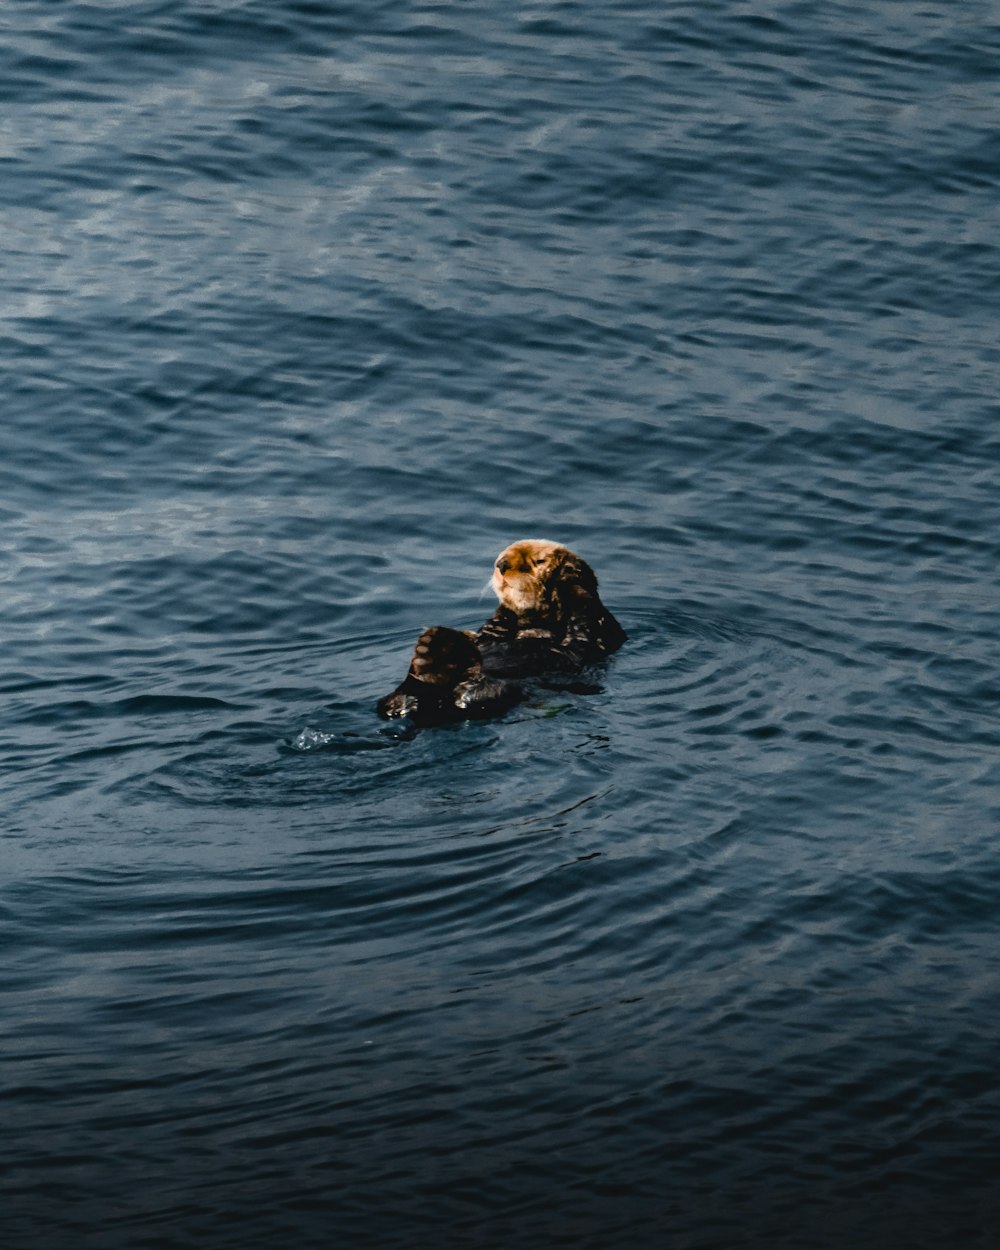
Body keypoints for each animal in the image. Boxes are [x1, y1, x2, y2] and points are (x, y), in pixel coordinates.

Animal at [377, 537, 625, 725]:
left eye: (539, 560)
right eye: (501, 558)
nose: (502, 564)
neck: (537, 624)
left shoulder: (599, 631)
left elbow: (583, 622)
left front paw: (569, 579)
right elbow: (489, 630)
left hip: (498, 693)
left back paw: (440, 654)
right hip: (399, 699)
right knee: (392, 704)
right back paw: (434, 651)